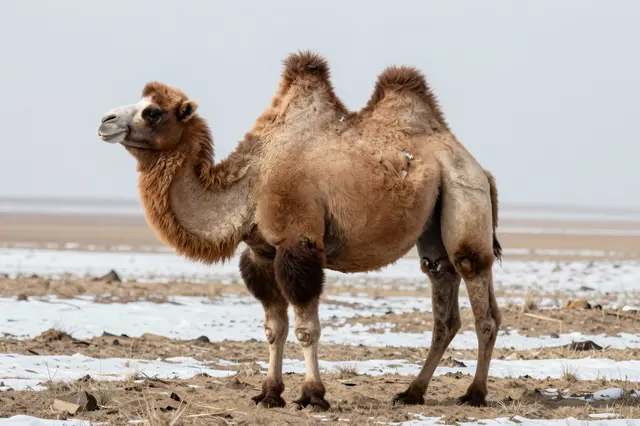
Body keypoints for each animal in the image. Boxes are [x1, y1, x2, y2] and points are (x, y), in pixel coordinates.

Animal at [96, 51, 502, 411]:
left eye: (152, 111)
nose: (105, 120)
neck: (252, 184)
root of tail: (480, 168)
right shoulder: (262, 252)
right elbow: (274, 327)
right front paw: (269, 394)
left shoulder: (299, 242)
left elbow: (308, 328)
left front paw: (312, 395)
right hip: (435, 224)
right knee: (444, 300)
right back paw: (412, 392)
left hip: (465, 195)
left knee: (477, 290)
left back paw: (475, 394)